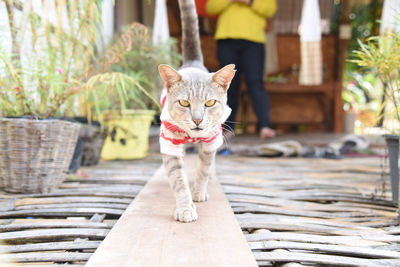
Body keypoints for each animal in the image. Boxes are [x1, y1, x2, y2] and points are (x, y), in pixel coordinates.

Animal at [158, 0, 236, 223]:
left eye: (210, 102)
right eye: (184, 103)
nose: (198, 120)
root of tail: (193, 63)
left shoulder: (210, 143)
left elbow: (203, 170)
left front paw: (199, 193)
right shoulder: (170, 143)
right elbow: (178, 179)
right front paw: (185, 207)